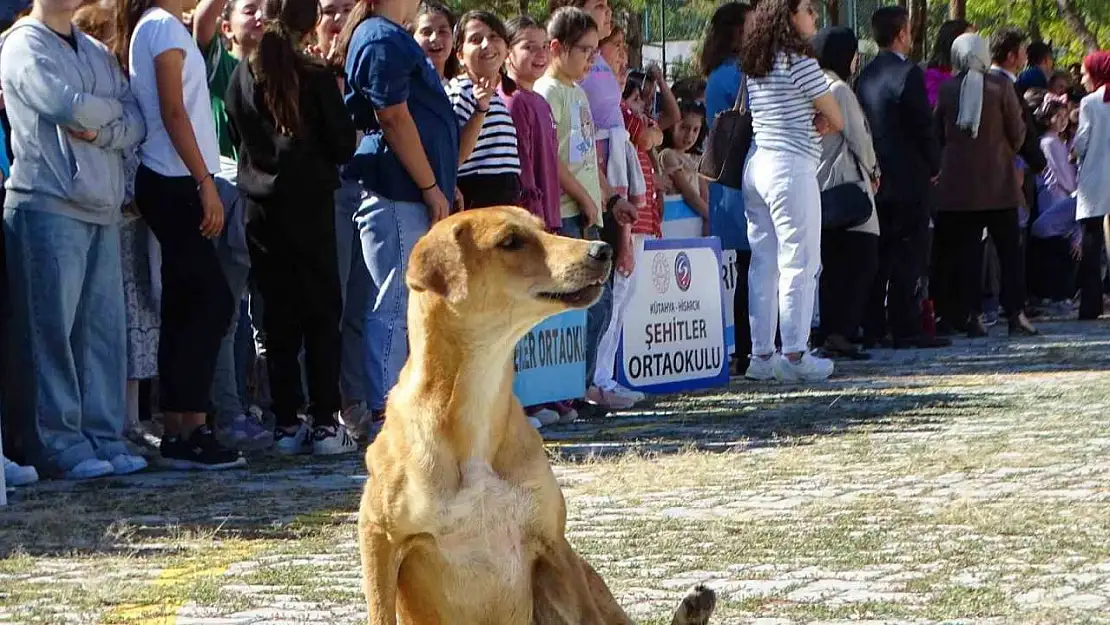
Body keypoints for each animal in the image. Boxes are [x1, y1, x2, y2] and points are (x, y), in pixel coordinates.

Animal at [359, 207, 714, 621]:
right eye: (510, 241)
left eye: (546, 229)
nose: (603, 249)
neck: (476, 396)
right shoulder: (379, 536)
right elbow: (380, 612)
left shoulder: (552, 543)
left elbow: (586, 611)